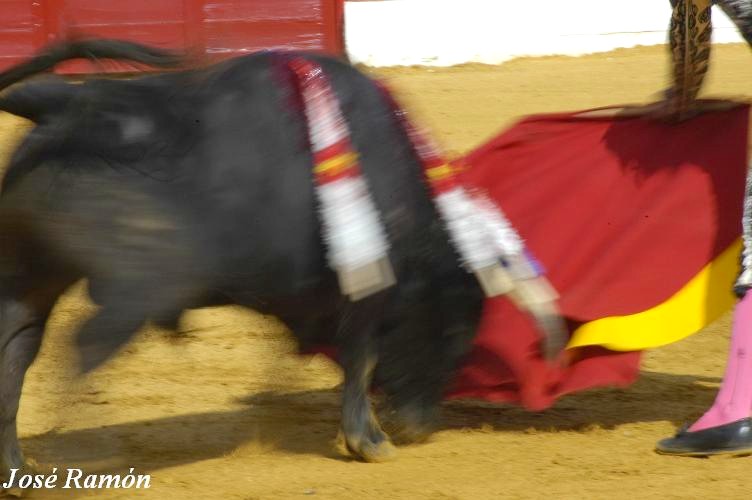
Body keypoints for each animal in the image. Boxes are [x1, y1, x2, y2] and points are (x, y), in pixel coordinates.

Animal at [0, 40, 494, 472]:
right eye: (455, 331)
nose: (422, 427)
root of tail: (66, 106)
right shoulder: (363, 292)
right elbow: (362, 355)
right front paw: (369, 441)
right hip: (133, 291)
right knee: (84, 349)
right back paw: (88, 454)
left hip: (30, 280)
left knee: (16, 349)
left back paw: (16, 467)